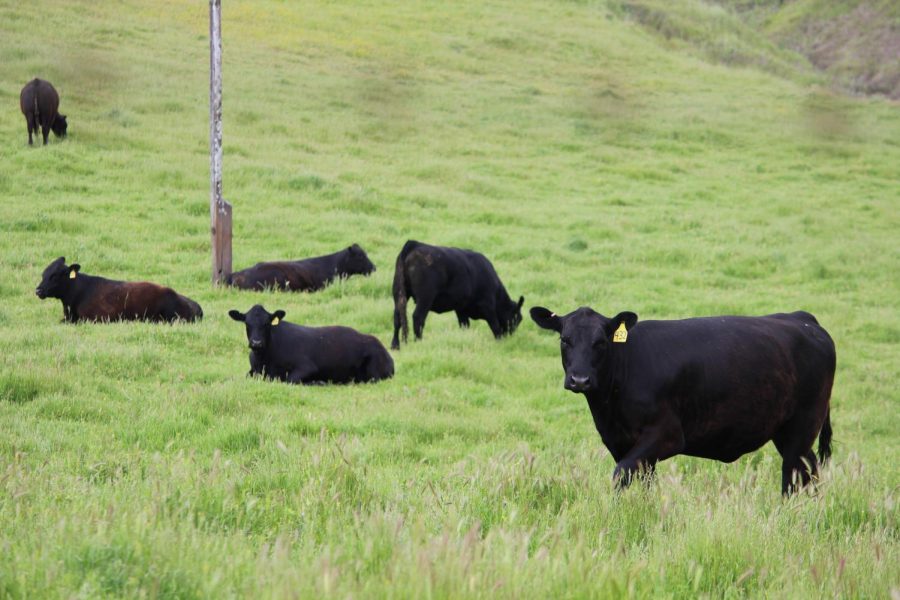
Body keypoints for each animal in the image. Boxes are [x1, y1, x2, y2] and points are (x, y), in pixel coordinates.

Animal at [227, 304, 392, 384]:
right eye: (247, 323)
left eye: (267, 323)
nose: (256, 343)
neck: (265, 361)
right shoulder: (254, 370)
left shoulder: (307, 366)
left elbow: (290, 380)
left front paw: (318, 382)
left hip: (372, 373)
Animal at [390, 240, 524, 352]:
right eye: (517, 318)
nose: (511, 336)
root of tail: (414, 244)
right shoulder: (488, 306)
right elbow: (495, 326)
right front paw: (499, 342)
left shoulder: (461, 309)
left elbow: (465, 325)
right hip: (425, 298)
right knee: (418, 317)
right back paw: (419, 343)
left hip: (399, 294)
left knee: (397, 318)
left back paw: (395, 346)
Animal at [528, 308, 836, 494]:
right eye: (565, 340)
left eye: (601, 342)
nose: (580, 380)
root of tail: (801, 318)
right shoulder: (622, 442)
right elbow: (642, 481)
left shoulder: (667, 434)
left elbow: (620, 474)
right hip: (787, 431)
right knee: (809, 468)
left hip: (803, 425)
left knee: (792, 475)